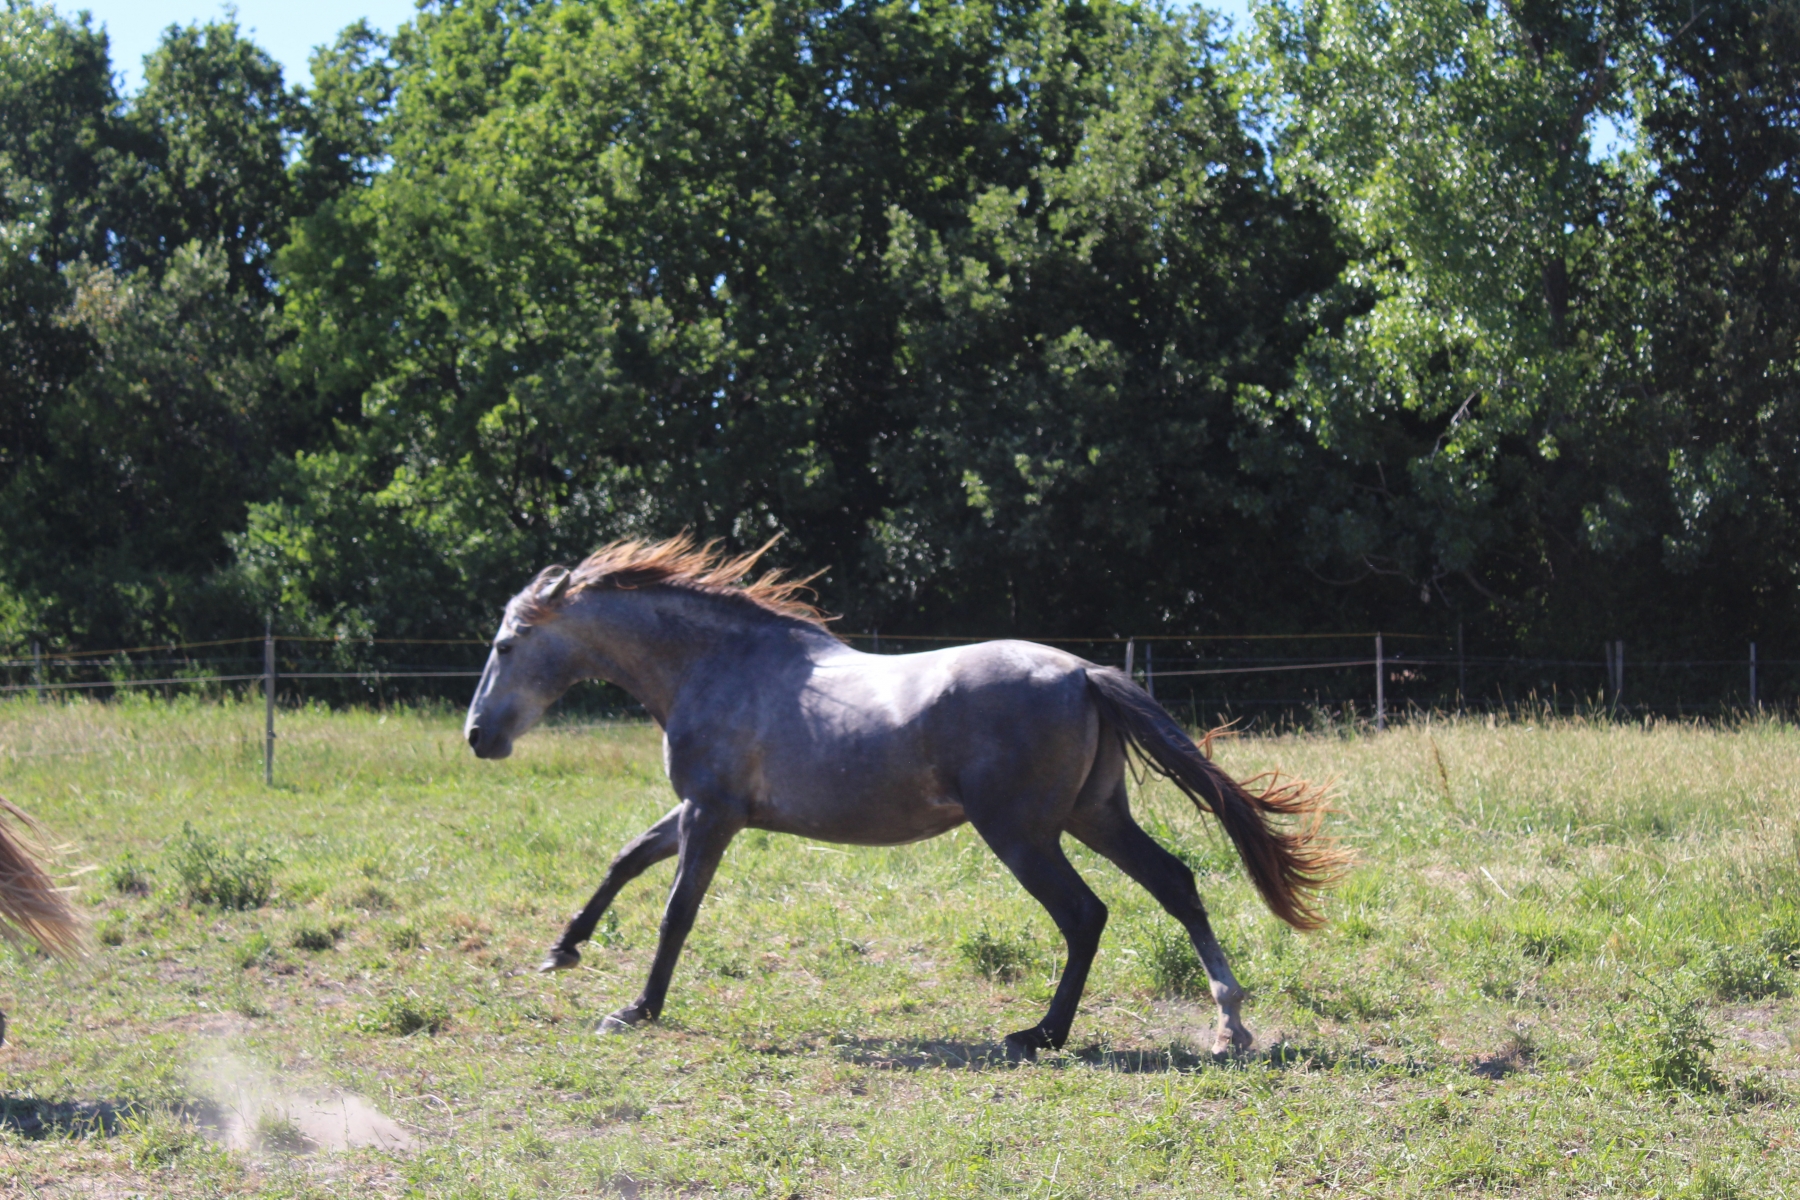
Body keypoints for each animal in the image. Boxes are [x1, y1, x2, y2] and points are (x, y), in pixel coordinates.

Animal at [464, 536, 1339, 1057]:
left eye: (507, 644)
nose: (478, 737)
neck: (713, 666)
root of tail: (1083, 672)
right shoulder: (702, 811)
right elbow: (626, 860)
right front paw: (563, 950)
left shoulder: (714, 816)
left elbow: (677, 912)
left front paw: (637, 1009)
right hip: (1093, 817)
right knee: (1175, 884)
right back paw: (1229, 1025)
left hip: (1023, 834)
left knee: (1086, 915)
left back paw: (1039, 1034)